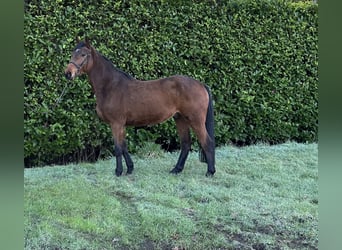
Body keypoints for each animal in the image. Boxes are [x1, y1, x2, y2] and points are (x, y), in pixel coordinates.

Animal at [64, 38, 215, 177]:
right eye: (72, 53)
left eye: (83, 54)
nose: (68, 73)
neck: (111, 86)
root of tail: (201, 84)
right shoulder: (121, 125)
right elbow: (124, 146)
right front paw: (130, 169)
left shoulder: (116, 123)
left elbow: (118, 148)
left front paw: (118, 172)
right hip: (180, 119)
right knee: (185, 144)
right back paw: (176, 170)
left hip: (195, 120)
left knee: (207, 142)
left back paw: (210, 171)